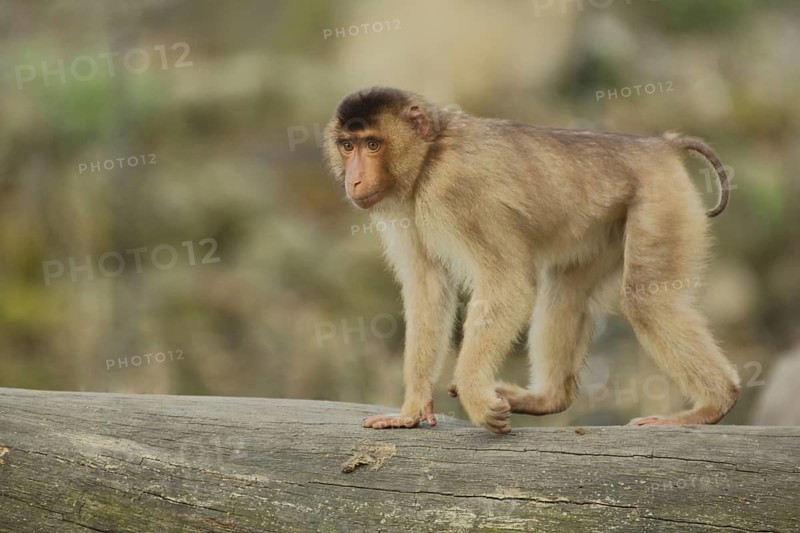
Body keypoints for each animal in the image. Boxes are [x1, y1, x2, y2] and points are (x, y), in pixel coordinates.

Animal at [323, 87, 740, 434]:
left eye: (372, 144)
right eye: (347, 146)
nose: (354, 180)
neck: (430, 156)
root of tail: (659, 146)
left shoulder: (457, 190)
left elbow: (505, 284)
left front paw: (475, 396)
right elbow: (429, 292)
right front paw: (411, 410)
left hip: (661, 202)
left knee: (647, 299)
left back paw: (713, 404)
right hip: (606, 224)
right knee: (567, 292)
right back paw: (547, 399)